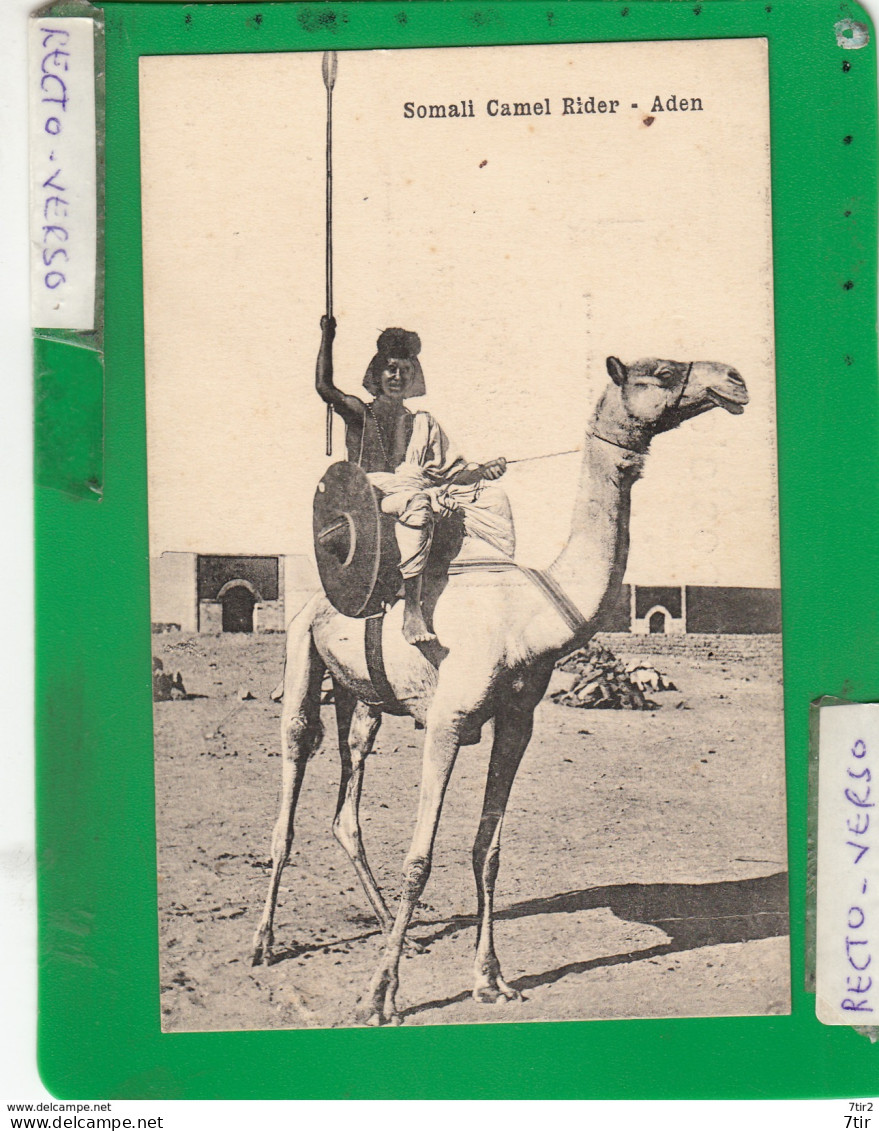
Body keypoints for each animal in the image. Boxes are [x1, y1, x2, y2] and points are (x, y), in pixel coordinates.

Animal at [248, 352, 746, 1026]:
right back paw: (264, 942)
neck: (527, 618)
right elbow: (419, 858)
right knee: (293, 778)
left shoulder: (518, 720)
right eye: (662, 371)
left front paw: (491, 980)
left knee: (347, 802)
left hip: (365, 698)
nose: (735, 381)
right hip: (302, 653)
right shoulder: (448, 719)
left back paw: (392, 929)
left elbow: (488, 850)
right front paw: (379, 996)